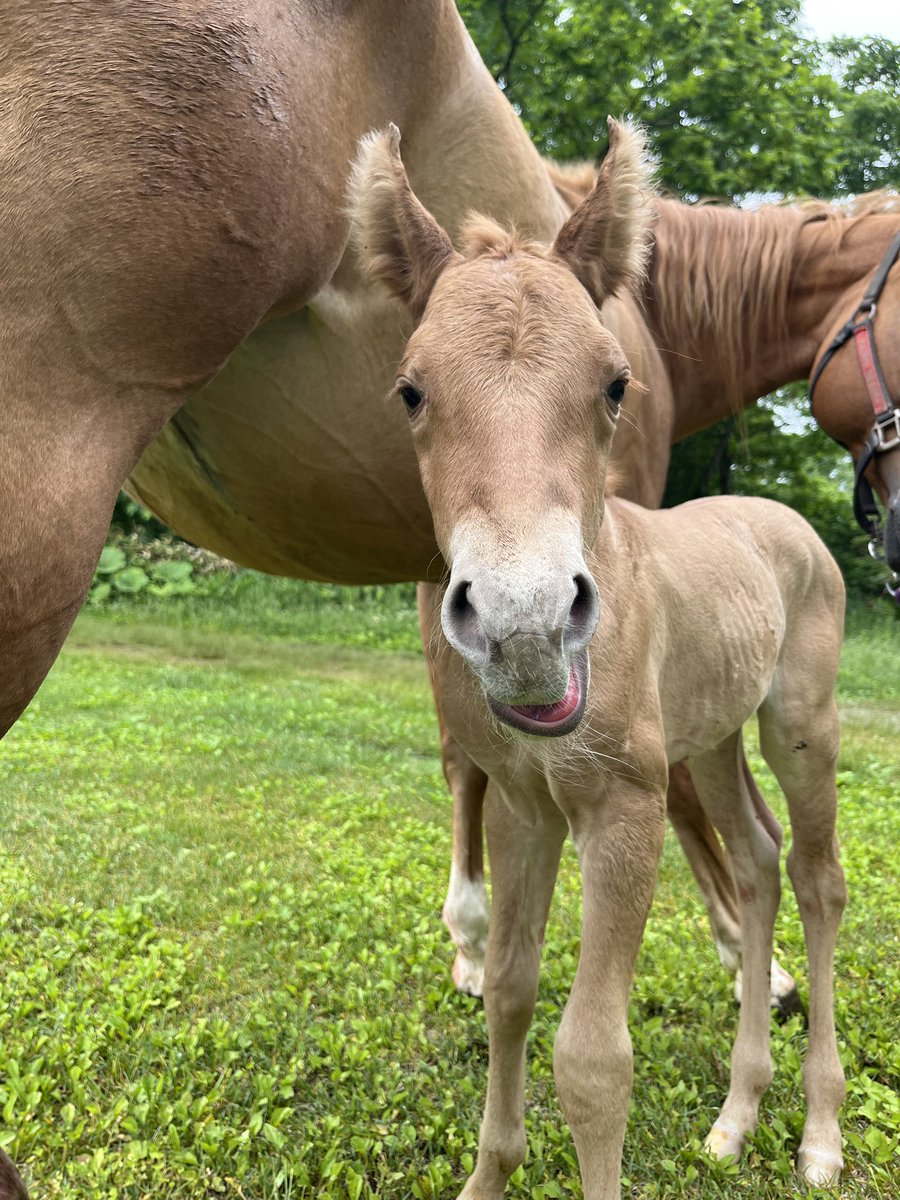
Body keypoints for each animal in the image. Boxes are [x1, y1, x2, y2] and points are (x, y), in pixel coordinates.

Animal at [351, 117, 847, 1197]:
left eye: (615, 384)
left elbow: (592, 1055)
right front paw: (487, 1177)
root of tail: (788, 519)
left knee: (819, 879)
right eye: (410, 390)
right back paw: (735, 1118)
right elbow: (509, 988)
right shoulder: (525, 806)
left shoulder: (623, 808)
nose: (526, 624)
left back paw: (819, 1133)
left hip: (801, 727)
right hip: (711, 739)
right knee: (757, 862)